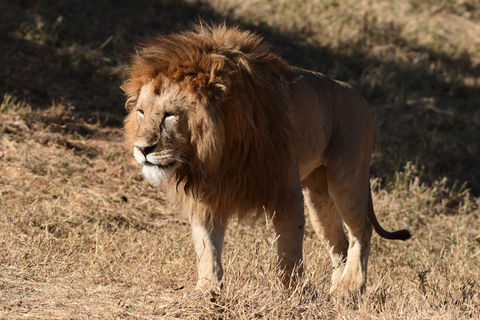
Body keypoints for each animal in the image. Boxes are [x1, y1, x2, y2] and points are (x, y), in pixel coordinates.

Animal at [122, 24, 410, 296]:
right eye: (141, 112)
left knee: (362, 231)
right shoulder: (208, 197)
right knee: (339, 243)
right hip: (318, 194)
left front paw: (293, 294)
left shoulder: (284, 189)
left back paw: (351, 288)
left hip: (346, 180)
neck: (216, 153)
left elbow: (289, 250)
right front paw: (208, 292)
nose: (142, 149)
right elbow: (207, 248)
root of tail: (360, 97)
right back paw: (337, 291)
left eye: (169, 115)